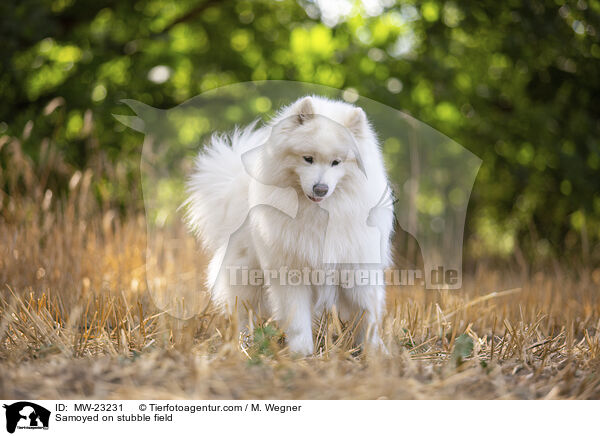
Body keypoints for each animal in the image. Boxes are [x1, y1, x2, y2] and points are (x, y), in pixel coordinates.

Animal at [185, 95, 396, 354]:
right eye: (308, 159)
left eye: (336, 162)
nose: (320, 188)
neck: (319, 214)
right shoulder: (291, 272)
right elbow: (297, 318)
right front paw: (302, 352)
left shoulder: (357, 268)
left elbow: (367, 315)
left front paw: (376, 351)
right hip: (245, 276)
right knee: (244, 313)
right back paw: (245, 346)